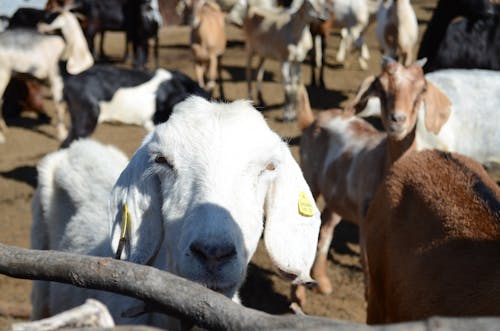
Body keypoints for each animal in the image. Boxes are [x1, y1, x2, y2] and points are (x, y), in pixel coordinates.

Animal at [292, 58, 452, 308]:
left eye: (421, 91)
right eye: (381, 89)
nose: (398, 120)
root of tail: (313, 120)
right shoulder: (368, 223)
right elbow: (369, 269)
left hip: (340, 198)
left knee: (327, 225)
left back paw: (323, 282)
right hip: (309, 177)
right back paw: (298, 297)